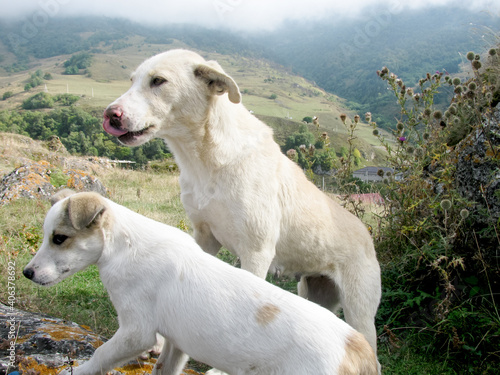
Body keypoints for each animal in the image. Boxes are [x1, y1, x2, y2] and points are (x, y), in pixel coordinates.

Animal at [22, 191, 376, 375]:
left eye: (59, 238)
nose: (26, 273)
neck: (123, 246)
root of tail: (359, 350)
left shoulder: (136, 331)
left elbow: (100, 356)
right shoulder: (176, 341)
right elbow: (165, 366)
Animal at [102, 49, 382, 370]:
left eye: (158, 81)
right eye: (132, 80)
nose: (110, 115)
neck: (207, 159)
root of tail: (366, 233)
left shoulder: (256, 251)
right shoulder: (204, 237)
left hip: (360, 310)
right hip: (313, 293)